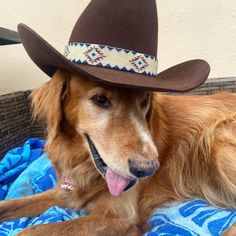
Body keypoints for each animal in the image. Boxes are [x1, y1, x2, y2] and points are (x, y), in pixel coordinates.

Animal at [0, 69, 236, 235]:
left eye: (144, 101)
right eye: (100, 100)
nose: (147, 170)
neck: (83, 164)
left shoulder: (122, 218)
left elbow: (38, 230)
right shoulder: (65, 192)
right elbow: (10, 205)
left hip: (217, 138)